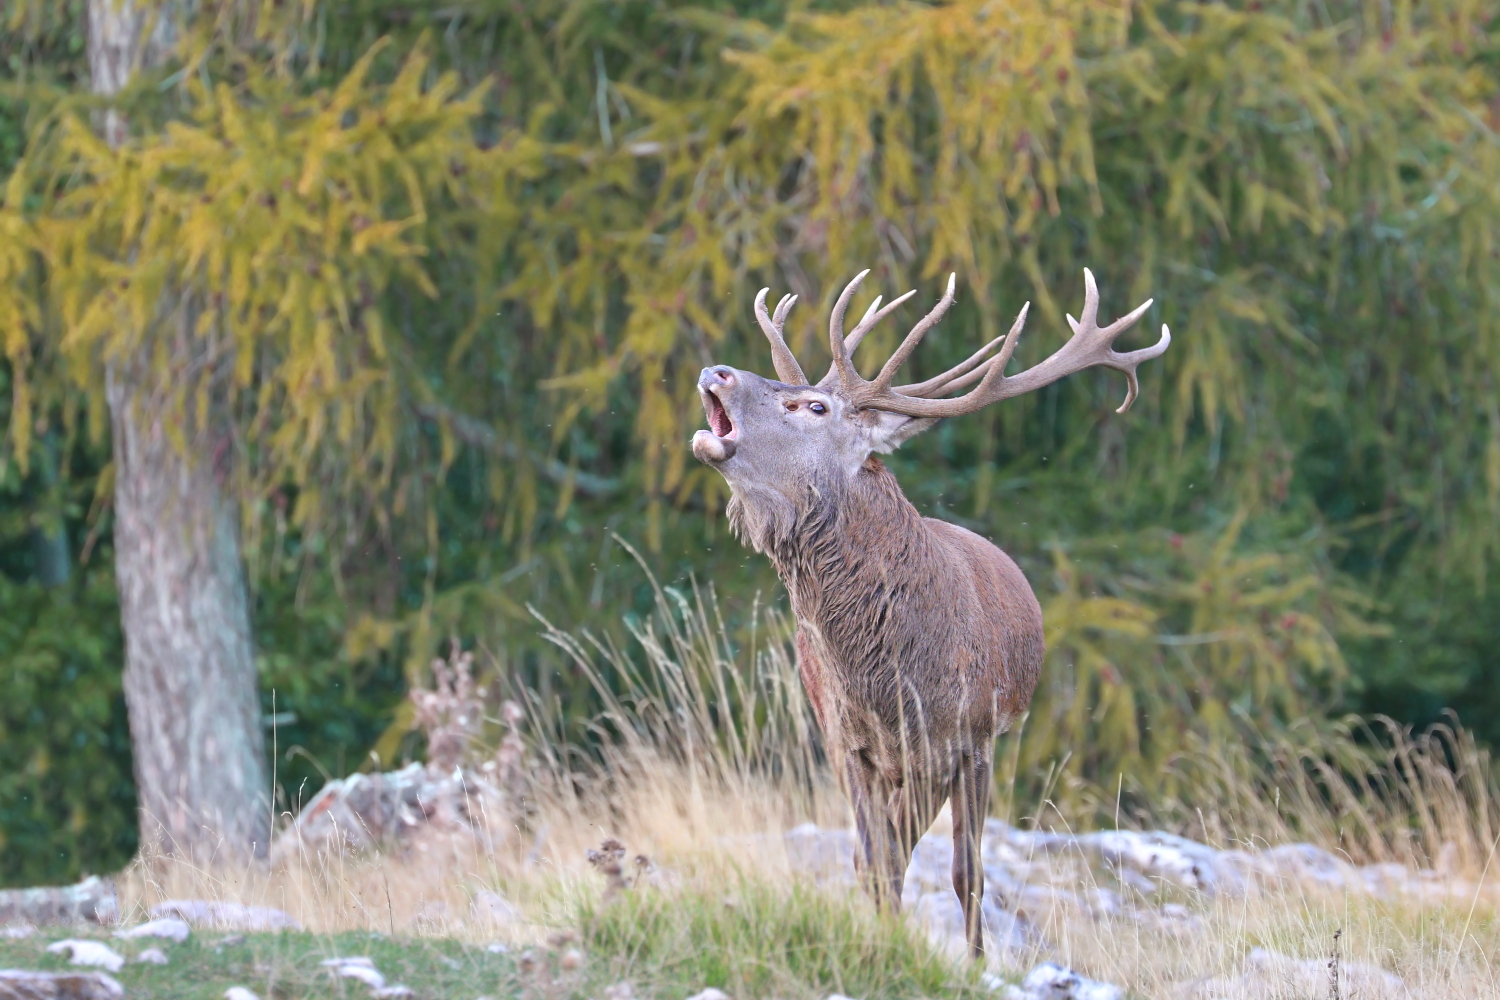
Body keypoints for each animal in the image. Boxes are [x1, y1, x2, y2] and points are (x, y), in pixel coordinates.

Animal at [690, 268, 1169, 959]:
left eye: (814, 406)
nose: (717, 370)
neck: (894, 678)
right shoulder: (850, 743)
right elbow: (877, 861)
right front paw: (882, 944)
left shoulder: (969, 738)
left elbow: (966, 872)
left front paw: (973, 963)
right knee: (884, 852)